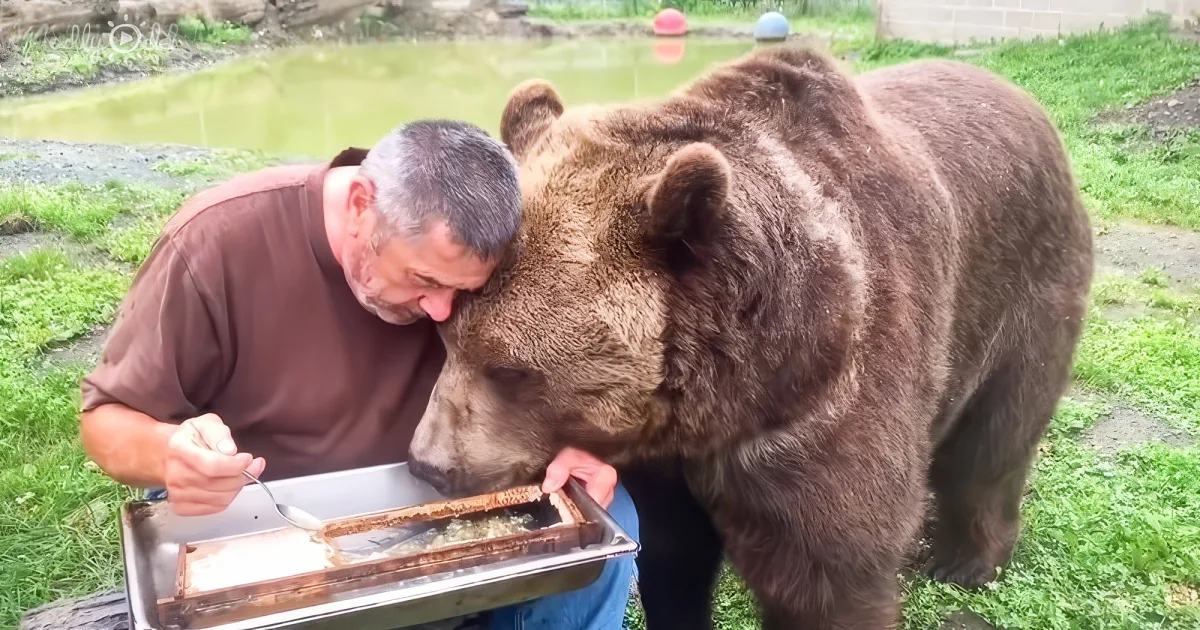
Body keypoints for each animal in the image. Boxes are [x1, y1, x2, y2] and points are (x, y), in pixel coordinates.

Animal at [407, 44, 1095, 629]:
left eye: (511, 369)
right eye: (446, 337)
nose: (429, 463)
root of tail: (1023, 97)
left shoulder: (828, 407)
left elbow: (829, 568)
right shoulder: (673, 459)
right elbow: (674, 556)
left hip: (1023, 287)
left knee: (997, 434)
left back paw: (966, 558)